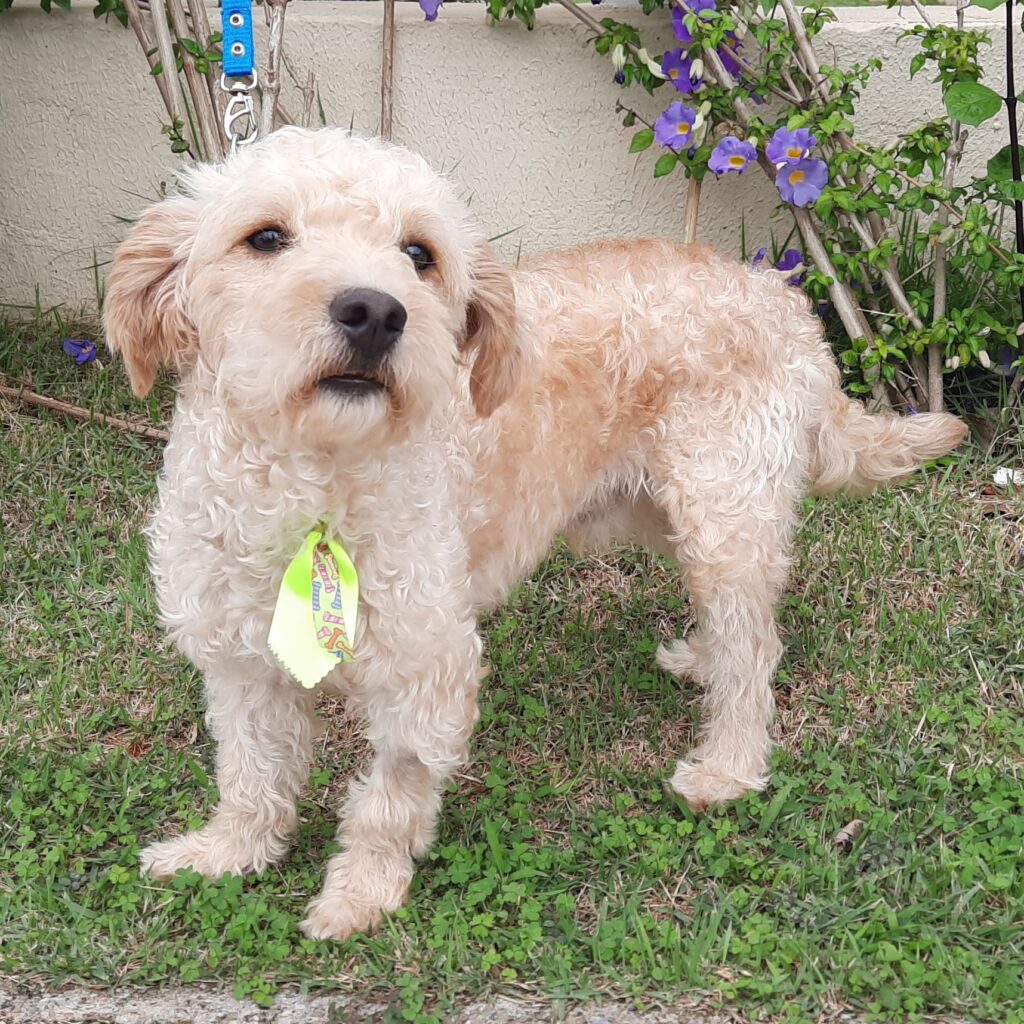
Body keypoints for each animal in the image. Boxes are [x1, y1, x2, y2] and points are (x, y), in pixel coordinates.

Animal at [103, 128, 966, 942]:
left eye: (418, 254)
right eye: (266, 238)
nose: (376, 312)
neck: (311, 487)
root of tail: (782, 299)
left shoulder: (429, 668)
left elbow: (388, 800)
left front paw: (361, 895)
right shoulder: (240, 665)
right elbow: (250, 775)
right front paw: (226, 852)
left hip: (724, 510)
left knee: (756, 649)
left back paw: (726, 767)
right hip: (667, 511)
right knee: (737, 625)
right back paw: (702, 658)